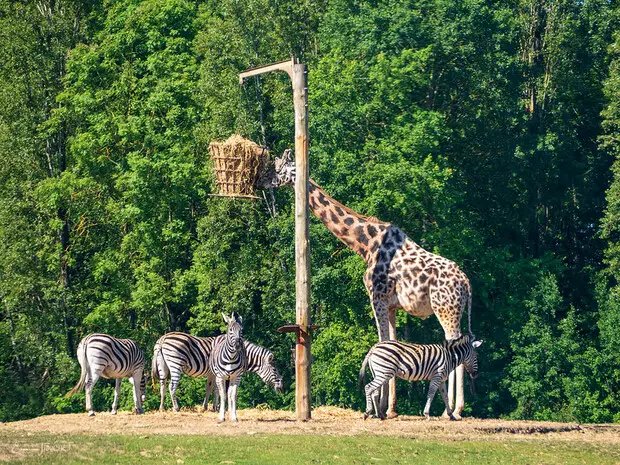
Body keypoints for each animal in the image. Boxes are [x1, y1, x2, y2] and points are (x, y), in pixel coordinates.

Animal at [153, 330, 284, 410]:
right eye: (274, 370)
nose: (282, 387)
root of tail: (163, 338)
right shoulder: (222, 372)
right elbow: (219, 390)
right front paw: (217, 407)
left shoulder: (213, 373)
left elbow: (210, 388)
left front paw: (207, 407)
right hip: (175, 364)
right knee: (172, 386)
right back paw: (176, 408)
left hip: (163, 366)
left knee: (162, 386)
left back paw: (161, 408)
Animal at [264, 150, 472, 418]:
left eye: (279, 168)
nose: (265, 181)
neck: (365, 244)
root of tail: (466, 283)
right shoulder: (392, 305)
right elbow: (391, 341)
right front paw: (390, 408)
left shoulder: (376, 297)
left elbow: (382, 341)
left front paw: (377, 408)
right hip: (453, 310)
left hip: (446, 309)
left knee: (456, 342)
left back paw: (454, 410)